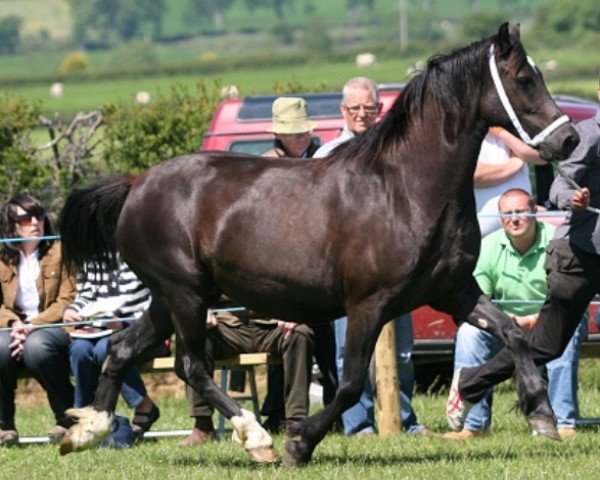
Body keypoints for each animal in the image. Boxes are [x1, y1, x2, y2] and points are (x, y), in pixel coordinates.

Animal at [58, 24, 580, 466]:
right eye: (523, 79)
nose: (570, 139)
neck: (406, 189)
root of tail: (135, 185)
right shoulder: (369, 304)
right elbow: (348, 384)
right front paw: (300, 443)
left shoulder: (452, 290)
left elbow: (514, 333)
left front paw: (541, 416)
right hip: (185, 295)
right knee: (192, 366)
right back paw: (257, 439)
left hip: (173, 298)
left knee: (121, 348)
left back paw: (85, 431)